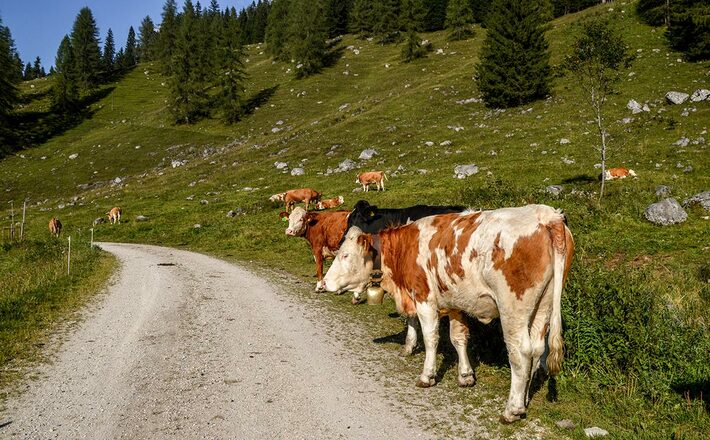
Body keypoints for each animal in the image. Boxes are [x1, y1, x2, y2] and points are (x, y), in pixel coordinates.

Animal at [323, 204, 574, 423]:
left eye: (345, 255)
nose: (323, 283)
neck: (405, 247)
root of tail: (546, 214)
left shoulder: (424, 298)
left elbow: (431, 338)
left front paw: (427, 376)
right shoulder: (455, 303)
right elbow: (458, 338)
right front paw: (465, 376)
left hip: (513, 308)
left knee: (521, 353)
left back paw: (512, 409)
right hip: (544, 304)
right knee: (537, 350)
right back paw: (523, 399)